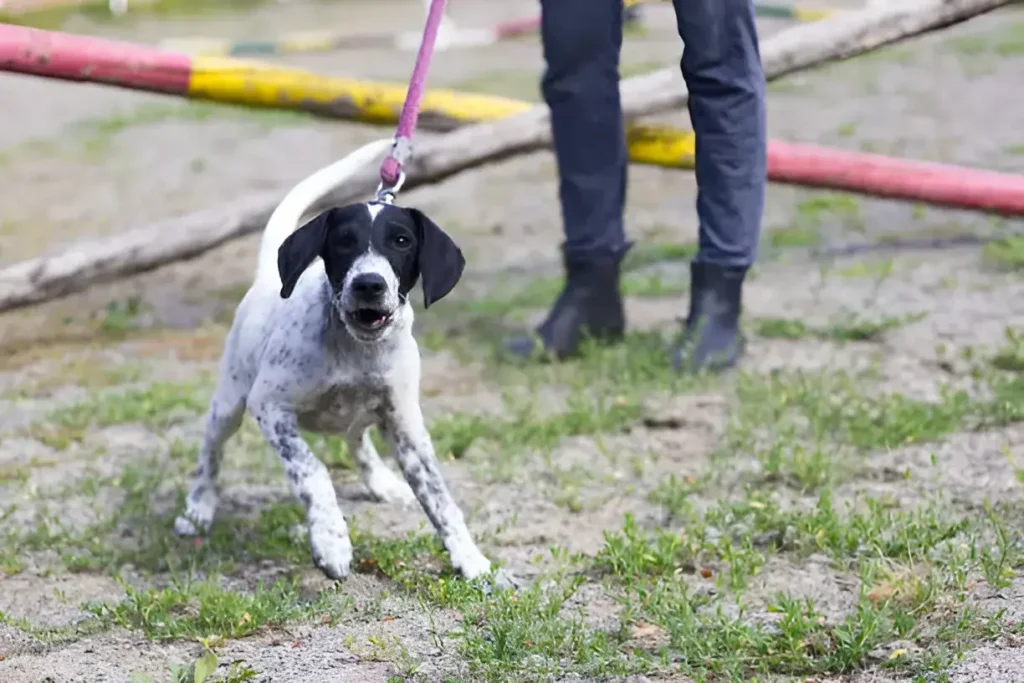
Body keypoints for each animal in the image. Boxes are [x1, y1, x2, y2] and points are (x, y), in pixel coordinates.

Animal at [176, 139, 516, 589]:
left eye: (402, 241)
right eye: (343, 242)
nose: (369, 284)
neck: (356, 350)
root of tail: (266, 277)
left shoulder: (407, 425)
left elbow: (441, 501)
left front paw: (472, 560)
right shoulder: (269, 406)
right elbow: (313, 471)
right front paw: (331, 539)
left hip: (371, 416)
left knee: (358, 440)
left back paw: (381, 482)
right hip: (229, 406)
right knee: (210, 458)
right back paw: (198, 509)